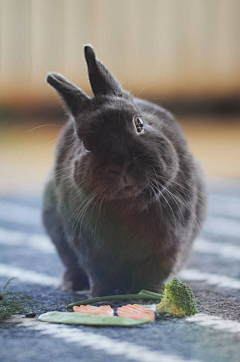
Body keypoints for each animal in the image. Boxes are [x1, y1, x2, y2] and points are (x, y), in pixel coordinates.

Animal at [42, 43, 206, 296]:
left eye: (139, 124)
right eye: (86, 144)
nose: (121, 166)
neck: (128, 206)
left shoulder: (169, 246)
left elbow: (156, 271)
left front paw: (151, 292)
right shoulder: (91, 250)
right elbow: (100, 274)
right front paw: (102, 295)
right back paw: (70, 284)